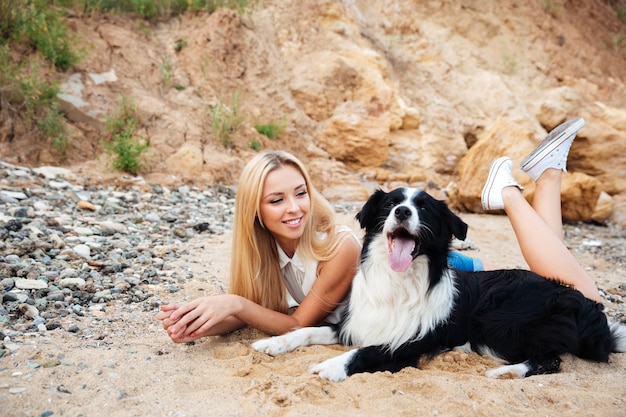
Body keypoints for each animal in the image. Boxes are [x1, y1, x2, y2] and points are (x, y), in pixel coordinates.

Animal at [250, 188, 624, 380]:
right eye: (390, 204)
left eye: (425, 209)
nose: (402, 212)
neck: (399, 281)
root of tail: (587, 304)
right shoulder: (356, 324)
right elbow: (307, 330)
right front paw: (273, 343)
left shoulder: (410, 343)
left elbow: (366, 352)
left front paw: (330, 366)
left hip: (501, 322)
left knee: (550, 360)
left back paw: (505, 372)